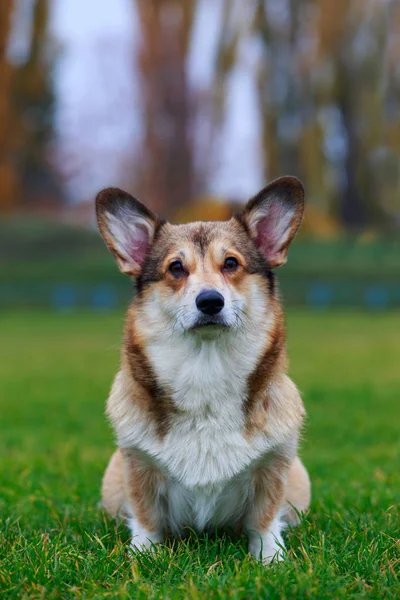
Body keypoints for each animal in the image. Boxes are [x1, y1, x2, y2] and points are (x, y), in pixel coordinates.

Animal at [97, 177, 310, 564]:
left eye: (231, 263)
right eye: (176, 268)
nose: (210, 301)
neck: (205, 367)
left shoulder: (274, 465)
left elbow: (264, 520)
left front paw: (271, 560)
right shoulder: (137, 464)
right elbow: (146, 519)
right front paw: (142, 557)